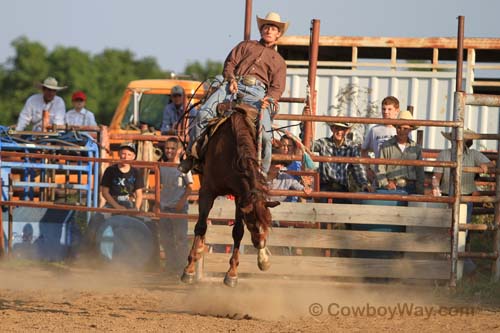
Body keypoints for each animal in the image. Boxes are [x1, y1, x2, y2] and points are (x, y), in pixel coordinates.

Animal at [181, 103, 282, 286]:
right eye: (252, 224)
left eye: (269, 222)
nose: (260, 243)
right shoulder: (207, 191)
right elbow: (200, 226)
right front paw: (189, 269)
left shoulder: (240, 197)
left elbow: (237, 232)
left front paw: (232, 273)